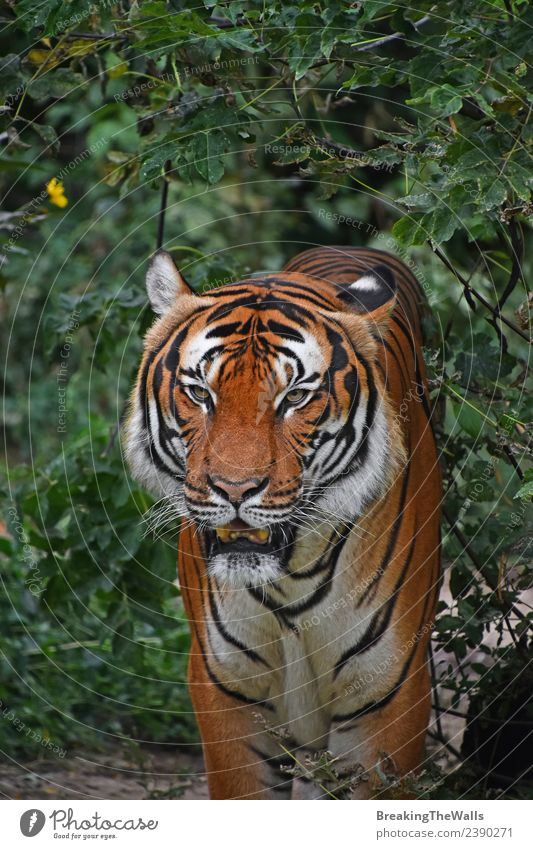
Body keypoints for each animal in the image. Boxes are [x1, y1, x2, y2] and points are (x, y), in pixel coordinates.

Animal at [123, 243, 440, 796]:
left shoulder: (388, 695)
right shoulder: (226, 689)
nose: (234, 489)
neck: (293, 576)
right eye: (200, 393)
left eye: (294, 397)